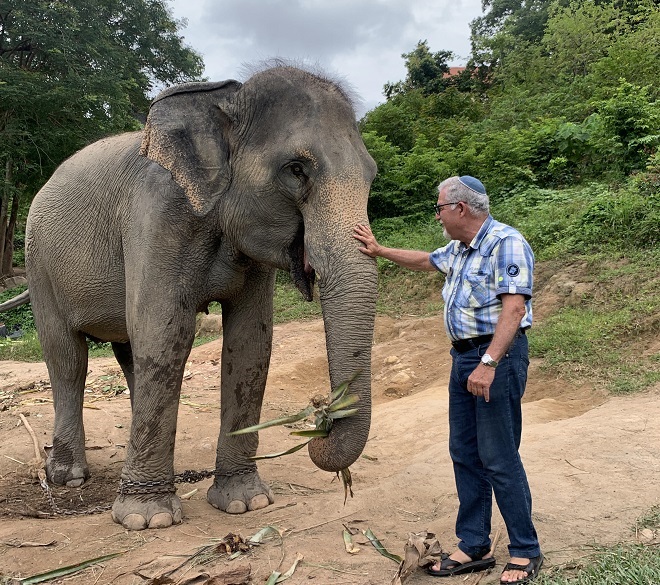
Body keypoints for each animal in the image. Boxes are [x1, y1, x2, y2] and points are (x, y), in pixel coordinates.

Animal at [13, 62, 378, 530]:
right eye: (296, 169)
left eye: (371, 175)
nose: (320, 419)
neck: (224, 100)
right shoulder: (156, 214)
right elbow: (166, 333)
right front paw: (148, 520)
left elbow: (250, 343)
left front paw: (245, 503)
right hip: (38, 262)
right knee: (67, 359)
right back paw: (68, 476)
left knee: (129, 353)